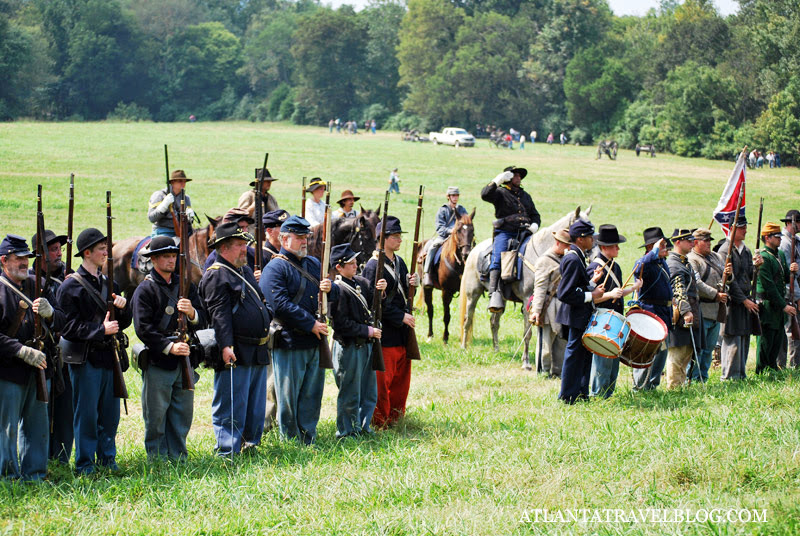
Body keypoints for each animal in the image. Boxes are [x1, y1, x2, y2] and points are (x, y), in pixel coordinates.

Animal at [412, 208, 476, 344]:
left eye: (472, 230)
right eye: (458, 230)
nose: (466, 253)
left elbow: (466, 316)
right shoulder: (446, 292)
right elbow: (447, 315)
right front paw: (445, 337)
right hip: (427, 288)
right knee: (430, 310)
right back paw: (430, 334)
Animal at [456, 205, 592, 368]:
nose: (592, 251)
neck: (540, 253)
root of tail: (474, 251)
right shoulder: (529, 299)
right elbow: (528, 333)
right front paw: (526, 361)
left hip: (500, 300)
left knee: (494, 322)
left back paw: (496, 349)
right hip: (473, 294)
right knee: (467, 319)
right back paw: (463, 347)